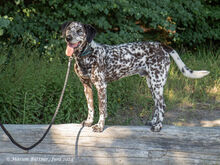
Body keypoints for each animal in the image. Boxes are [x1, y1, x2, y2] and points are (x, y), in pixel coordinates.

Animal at [61, 21, 210, 132]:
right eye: (69, 29)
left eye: (79, 31)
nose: (68, 37)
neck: (86, 55)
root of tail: (162, 45)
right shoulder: (87, 86)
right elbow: (91, 107)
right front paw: (89, 121)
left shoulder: (101, 87)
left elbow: (102, 110)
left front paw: (99, 126)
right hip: (151, 84)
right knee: (157, 106)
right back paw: (153, 122)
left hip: (157, 83)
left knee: (162, 105)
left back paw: (158, 126)